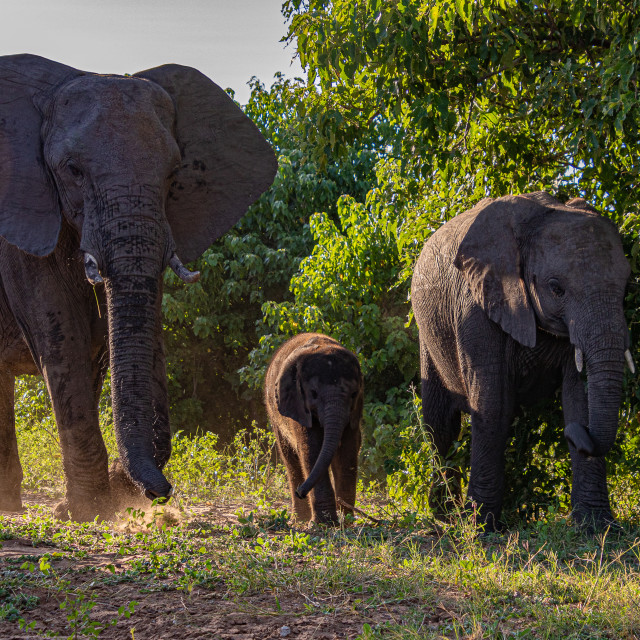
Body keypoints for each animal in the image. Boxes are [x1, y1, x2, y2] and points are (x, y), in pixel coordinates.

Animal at [0, 55, 278, 524]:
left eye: (173, 174)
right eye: (73, 171)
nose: (159, 493)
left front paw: (106, 497)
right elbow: (63, 339)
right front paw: (86, 510)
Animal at [264, 332, 364, 524]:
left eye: (354, 394)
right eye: (314, 394)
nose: (301, 492)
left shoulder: (354, 413)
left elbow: (347, 452)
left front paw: (345, 520)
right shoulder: (298, 406)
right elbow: (312, 449)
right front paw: (327, 523)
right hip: (274, 414)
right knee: (291, 459)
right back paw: (300, 520)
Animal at [412, 192, 632, 532]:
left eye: (626, 287)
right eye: (556, 288)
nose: (574, 434)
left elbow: (577, 398)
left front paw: (598, 526)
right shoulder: (475, 307)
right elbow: (492, 406)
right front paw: (481, 526)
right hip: (428, 333)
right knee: (440, 425)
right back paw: (444, 516)